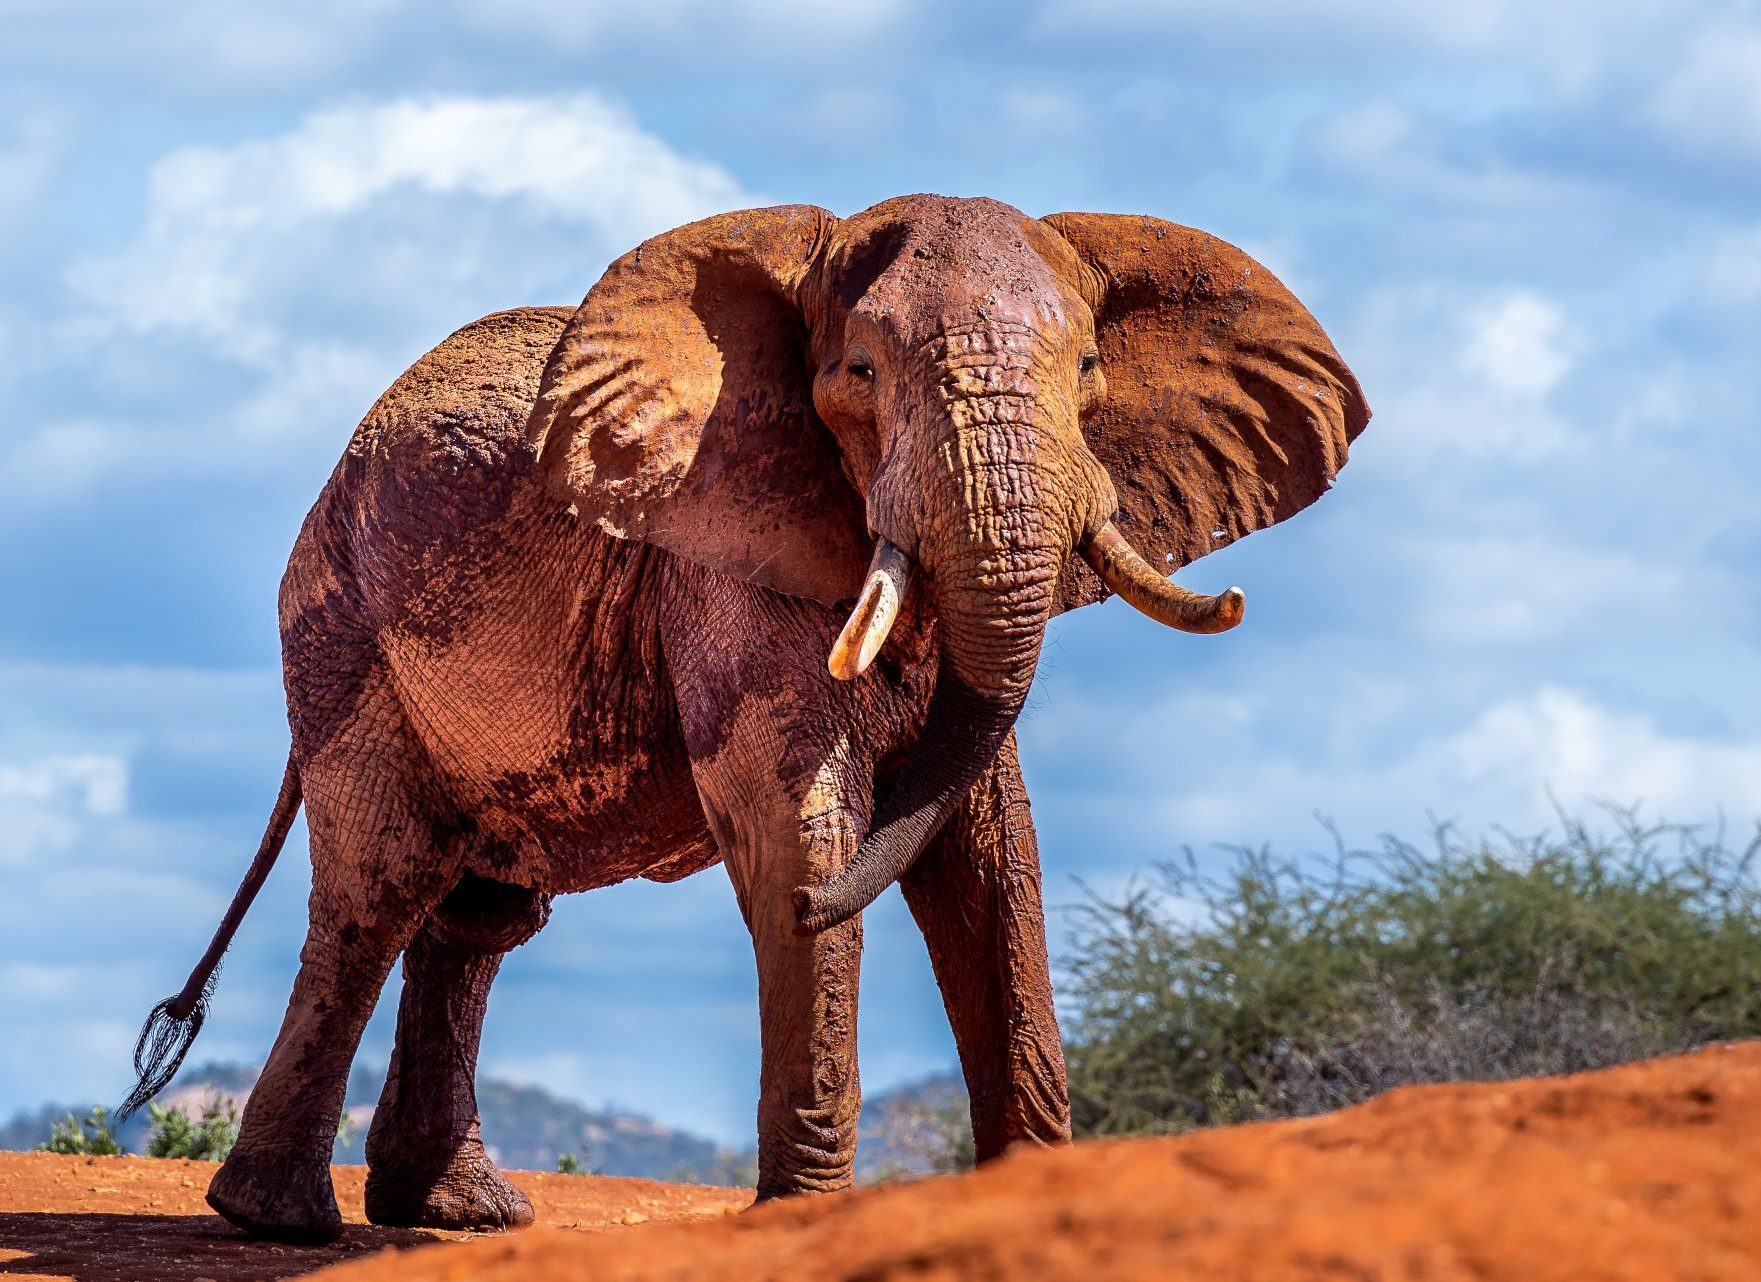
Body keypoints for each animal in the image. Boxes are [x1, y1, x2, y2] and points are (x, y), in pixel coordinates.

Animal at [120, 194, 1367, 1244]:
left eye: (1093, 368)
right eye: (858, 370)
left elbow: (990, 844)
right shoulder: (716, 555)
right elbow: (793, 811)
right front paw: (803, 1212)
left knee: (478, 914)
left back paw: (463, 1216)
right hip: (342, 631)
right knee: (381, 888)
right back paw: (281, 1224)